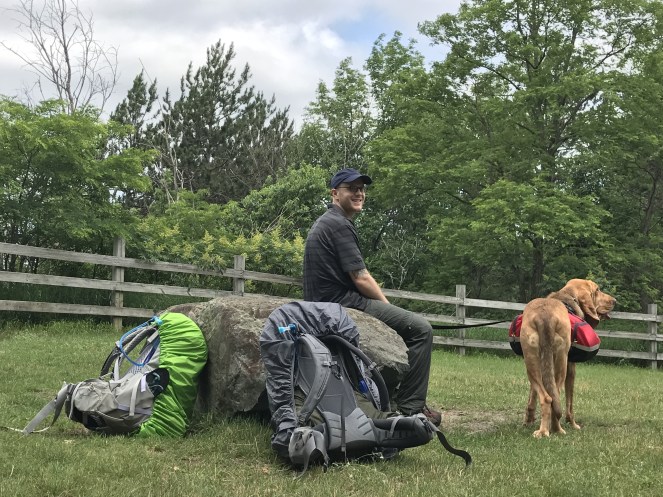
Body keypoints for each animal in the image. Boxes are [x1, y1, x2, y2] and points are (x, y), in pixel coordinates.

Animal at [524, 278, 616, 436]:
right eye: (597, 290)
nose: (615, 301)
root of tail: (545, 316)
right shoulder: (571, 368)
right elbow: (570, 403)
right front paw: (573, 424)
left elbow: (532, 395)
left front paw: (528, 420)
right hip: (561, 362)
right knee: (555, 397)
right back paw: (557, 430)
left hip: (531, 361)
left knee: (546, 397)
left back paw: (542, 431)